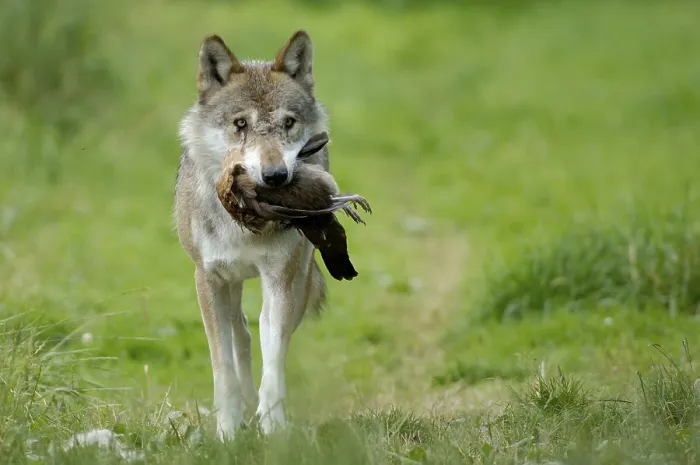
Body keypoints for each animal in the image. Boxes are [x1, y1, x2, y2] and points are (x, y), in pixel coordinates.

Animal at [174, 30, 332, 439]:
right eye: (240, 123)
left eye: (288, 123)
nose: (275, 177)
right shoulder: (207, 279)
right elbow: (223, 368)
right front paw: (228, 431)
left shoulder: (279, 279)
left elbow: (273, 359)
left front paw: (274, 428)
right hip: (229, 284)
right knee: (240, 333)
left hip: (299, 283)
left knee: (261, 332)